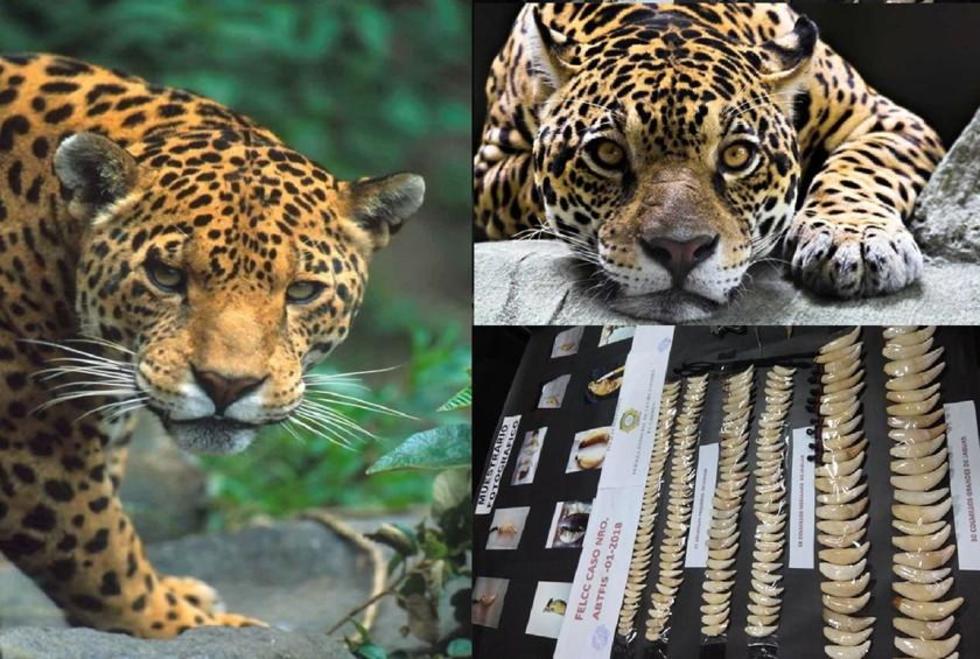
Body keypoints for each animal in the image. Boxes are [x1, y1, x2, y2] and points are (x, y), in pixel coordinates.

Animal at [0, 53, 424, 637]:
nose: (227, 385)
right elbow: (105, 555)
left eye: (302, 291)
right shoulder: (30, 447)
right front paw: (198, 624)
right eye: (165, 276)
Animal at [474, 3, 944, 321]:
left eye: (738, 155)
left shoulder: (886, 121)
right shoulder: (490, 172)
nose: (680, 251)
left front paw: (856, 244)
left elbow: (860, 167)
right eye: (607, 154)